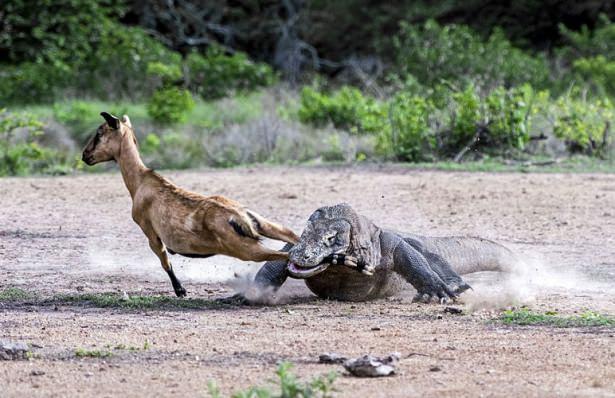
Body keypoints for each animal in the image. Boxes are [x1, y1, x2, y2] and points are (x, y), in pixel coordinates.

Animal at [83, 112, 300, 296]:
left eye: (99, 133)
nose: (85, 155)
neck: (141, 181)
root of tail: (239, 217)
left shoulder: (150, 232)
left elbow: (165, 261)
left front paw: (180, 290)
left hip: (246, 250)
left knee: (288, 256)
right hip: (262, 225)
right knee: (292, 236)